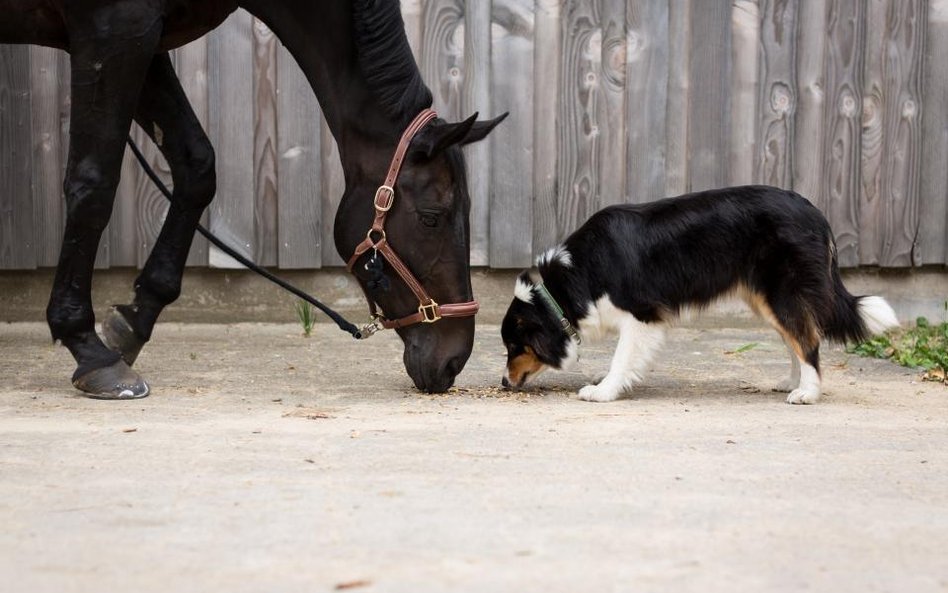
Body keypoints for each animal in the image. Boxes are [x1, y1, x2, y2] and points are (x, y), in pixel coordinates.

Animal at [0, 1, 508, 398]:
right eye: (431, 218)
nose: (454, 359)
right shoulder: (115, 32)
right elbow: (93, 185)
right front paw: (88, 348)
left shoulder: (145, 38)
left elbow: (197, 165)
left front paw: (132, 323)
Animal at [500, 187, 900, 404]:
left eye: (515, 347)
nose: (503, 383)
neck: (568, 282)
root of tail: (818, 214)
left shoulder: (642, 315)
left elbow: (622, 358)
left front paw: (603, 391)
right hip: (767, 299)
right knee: (798, 338)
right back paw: (793, 381)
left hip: (783, 293)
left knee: (808, 340)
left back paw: (807, 393)